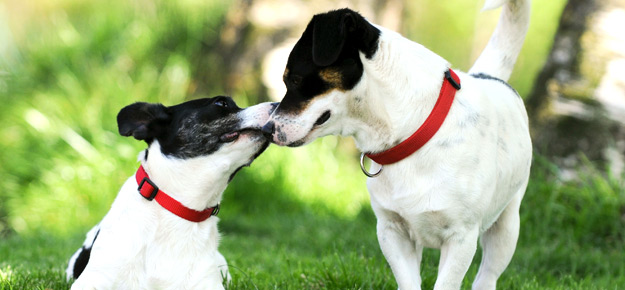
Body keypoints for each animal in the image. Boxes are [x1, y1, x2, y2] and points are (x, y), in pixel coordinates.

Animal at [262, 0, 532, 288]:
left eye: (294, 79)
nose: (267, 129)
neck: (414, 133)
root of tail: (486, 75)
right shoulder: (392, 231)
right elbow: (409, 281)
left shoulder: (461, 238)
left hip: (506, 228)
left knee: (487, 274)